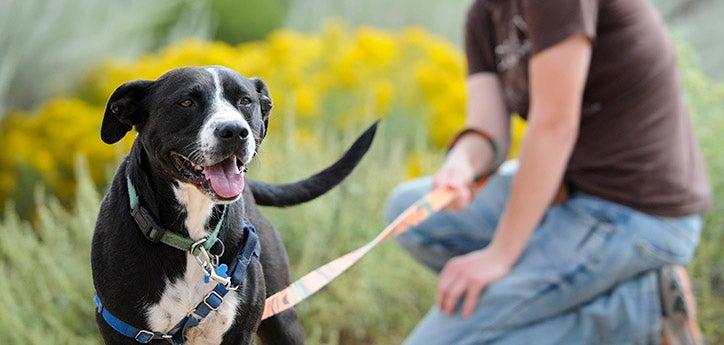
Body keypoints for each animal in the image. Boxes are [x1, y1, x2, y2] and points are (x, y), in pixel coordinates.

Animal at [89, 66, 378, 342]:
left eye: (245, 101)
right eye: (186, 102)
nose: (235, 131)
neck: (192, 239)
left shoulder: (241, 332)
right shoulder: (125, 331)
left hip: (282, 319)